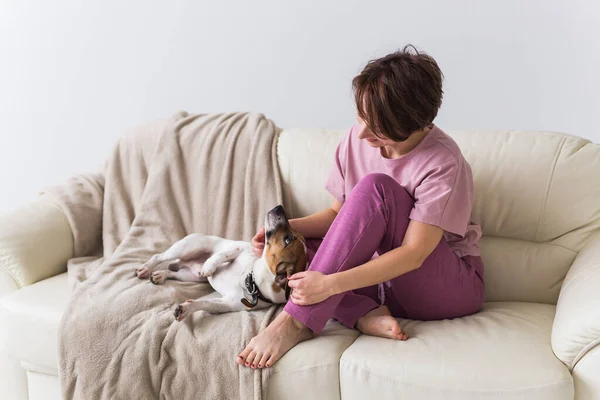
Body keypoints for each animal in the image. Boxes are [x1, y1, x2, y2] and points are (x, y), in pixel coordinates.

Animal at [134, 205, 308, 320]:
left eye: (287, 239)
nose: (280, 206)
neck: (252, 281)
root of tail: (185, 262)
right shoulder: (241, 249)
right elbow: (223, 255)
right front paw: (209, 267)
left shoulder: (227, 304)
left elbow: (206, 304)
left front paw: (187, 308)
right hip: (186, 248)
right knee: (159, 256)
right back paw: (146, 268)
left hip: (190, 276)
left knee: (172, 271)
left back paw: (160, 275)